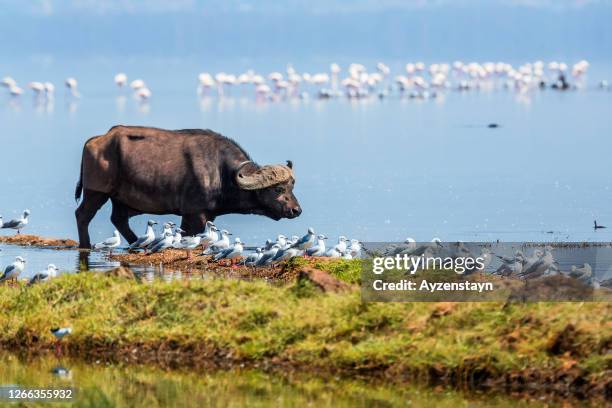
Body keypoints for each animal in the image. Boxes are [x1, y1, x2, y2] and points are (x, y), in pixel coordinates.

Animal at [75, 125, 300, 249]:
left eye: (291, 187)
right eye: (278, 189)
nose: (296, 210)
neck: (221, 172)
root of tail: (97, 140)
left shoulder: (206, 215)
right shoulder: (194, 214)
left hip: (120, 199)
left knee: (119, 219)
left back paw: (136, 242)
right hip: (96, 192)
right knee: (83, 215)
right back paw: (86, 245)